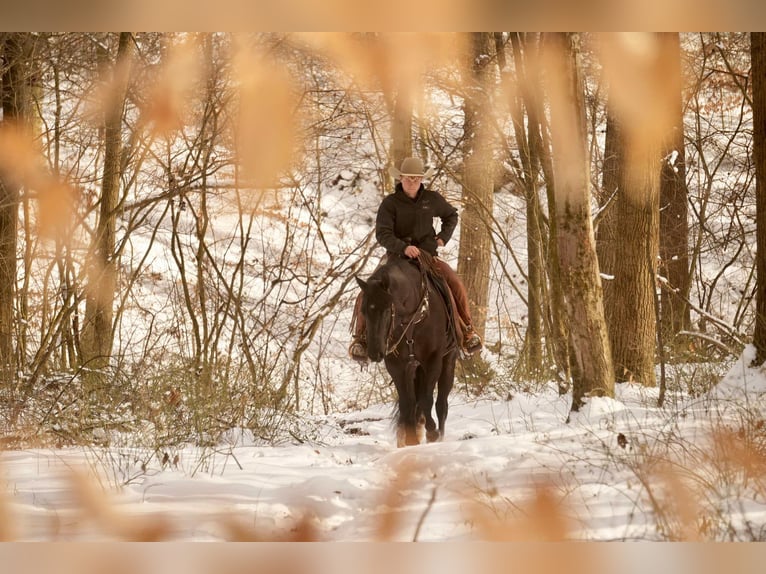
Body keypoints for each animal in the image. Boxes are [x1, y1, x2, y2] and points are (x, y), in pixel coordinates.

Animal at [356, 254, 460, 448]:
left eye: (387, 310)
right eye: (363, 311)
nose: (374, 352)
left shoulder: (433, 360)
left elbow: (427, 399)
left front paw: (432, 432)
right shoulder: (397, 365)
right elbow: (407, 403)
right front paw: (411, 439)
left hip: (448, 360)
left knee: (441, 403)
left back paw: (439, 435)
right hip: (414, 368)